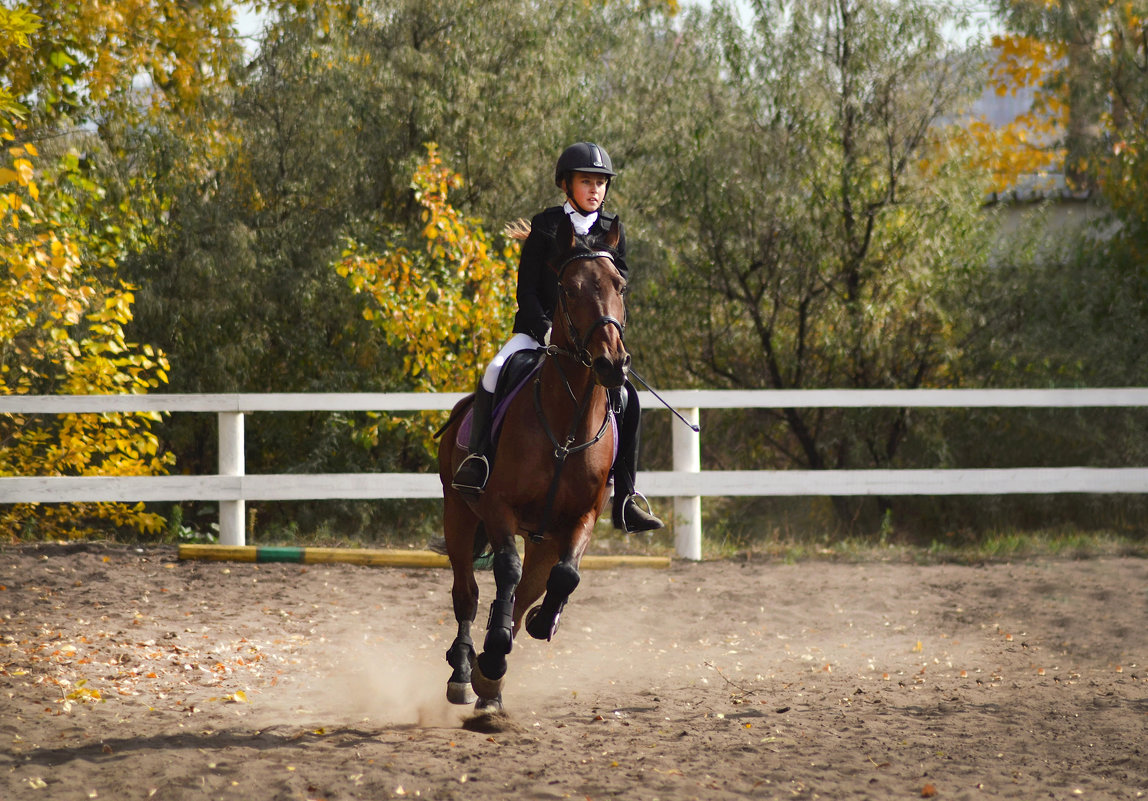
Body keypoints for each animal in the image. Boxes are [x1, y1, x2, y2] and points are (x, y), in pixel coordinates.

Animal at [436, 213, 633, 711]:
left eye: (620, 285)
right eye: (569, 288)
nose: (612, 364)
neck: (567, 426)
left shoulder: (582, 517)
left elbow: (565, 575)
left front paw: (540, 625)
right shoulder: (498, 508)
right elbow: (505, 569)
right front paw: (491, 655)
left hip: (542, 537)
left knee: (527, 589)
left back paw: (492, 676)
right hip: (458, 513)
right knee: (467, 594)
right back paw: (466, 671)